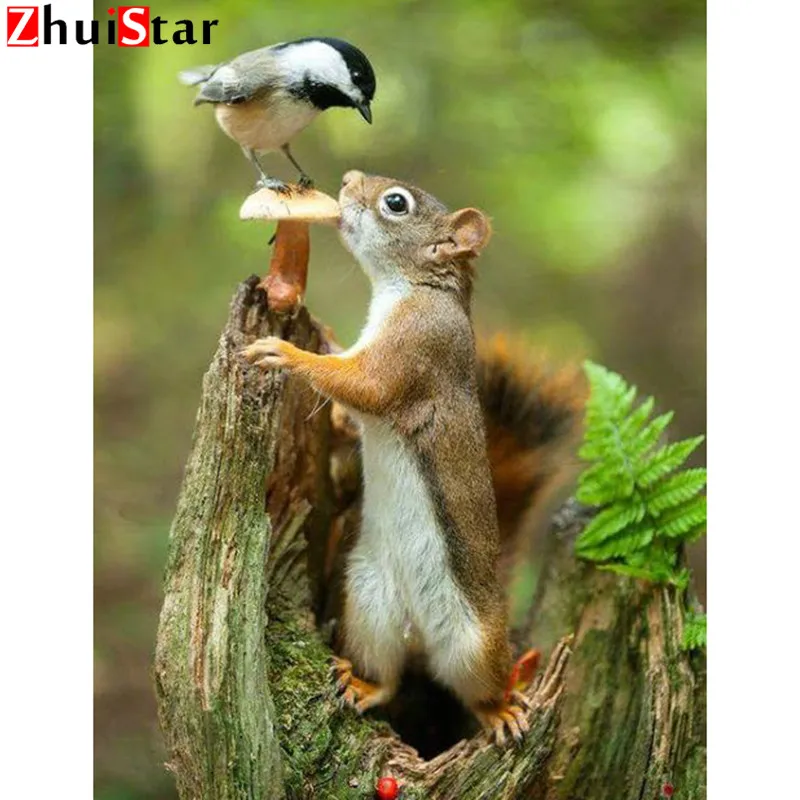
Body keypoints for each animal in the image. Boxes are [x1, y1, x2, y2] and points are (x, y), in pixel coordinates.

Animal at [243, 170, 586, 745]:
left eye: (396, 203)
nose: (347, 180)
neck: (413, 288)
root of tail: (419, 634)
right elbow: (350, 402)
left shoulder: (415, 349)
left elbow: (364, 387)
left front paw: (286, 353)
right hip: (368, 604)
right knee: (390, 677)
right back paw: (362, 684)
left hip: (475, 644)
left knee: (478, 689)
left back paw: (501, 710)